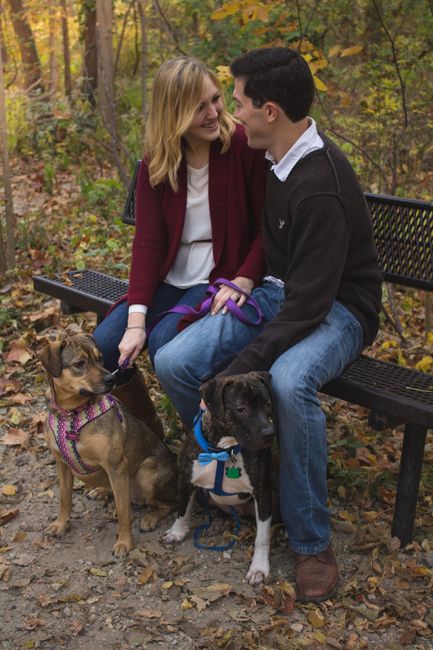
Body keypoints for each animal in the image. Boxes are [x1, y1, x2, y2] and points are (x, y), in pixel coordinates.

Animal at [39, 333, 177, 557]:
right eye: (80, 363)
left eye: (100, 358)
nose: (112, 379)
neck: (72, 415)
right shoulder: (62, 464)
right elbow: (64, 498)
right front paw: (61, 525)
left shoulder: (116, 466)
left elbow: (122, 511)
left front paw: (124, 542)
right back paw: (102, 491)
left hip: (146, 474)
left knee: (169, 504)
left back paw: (150, 518)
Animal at [163, 371, 275, 584]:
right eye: (241, 409)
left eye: (267, 404)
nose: (269, 434)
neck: (224, 450)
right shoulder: (186, 479)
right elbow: (182, 509)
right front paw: (177, 532)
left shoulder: (264, 493)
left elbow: (262, 536)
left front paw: (258, 567)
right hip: (203, 495)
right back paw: (216, 522)